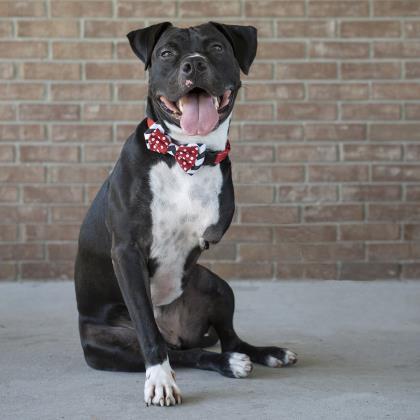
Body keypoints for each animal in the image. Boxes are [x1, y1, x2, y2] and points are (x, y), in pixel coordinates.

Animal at [74, 22, 298, 406]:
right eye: (167, 53)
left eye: (217, 48)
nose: (193, 64)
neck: (183, 154)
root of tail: (177, 332)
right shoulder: (127, 252)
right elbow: (149, 332)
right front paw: (161, 382)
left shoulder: (213, 225)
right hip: (112, 345)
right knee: (182, 352)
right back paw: (223, 363)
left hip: (215, 286)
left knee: (230, 338)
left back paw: (263, 354)